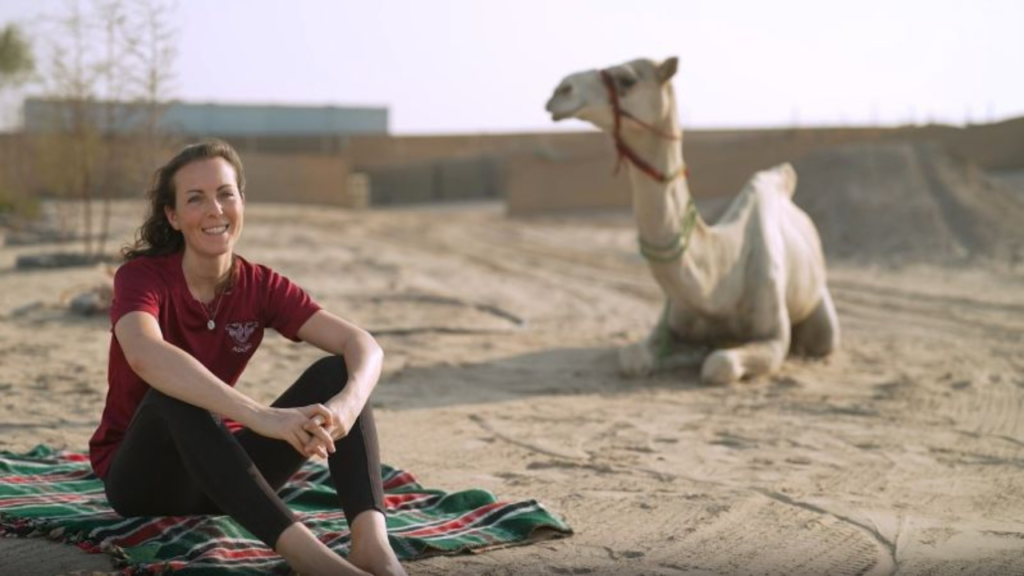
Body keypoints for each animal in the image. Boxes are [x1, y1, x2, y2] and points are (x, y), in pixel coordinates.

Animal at [545, 57, 839, 384]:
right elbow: (632, 357)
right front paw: (694, 350)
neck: (719, 276)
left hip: (821, 311)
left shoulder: (773, 334)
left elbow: (719, 364)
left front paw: (709, 352)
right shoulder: (670, 321)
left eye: (628, 79)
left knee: (822, 339)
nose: (560, 90)